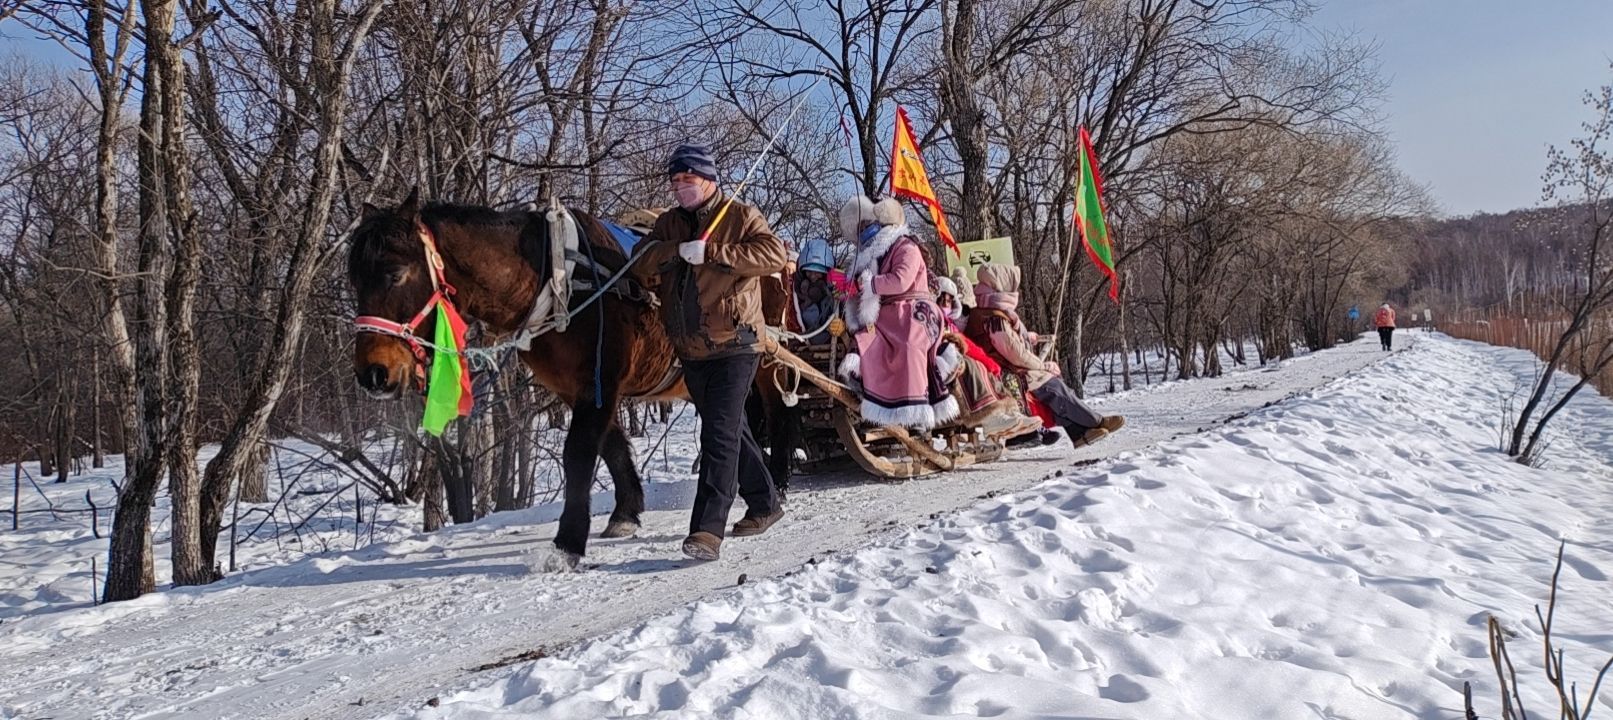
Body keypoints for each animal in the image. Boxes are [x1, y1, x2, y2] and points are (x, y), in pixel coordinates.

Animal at [348, 189, 800, 568]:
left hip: (762, 361)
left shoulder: (599, 382)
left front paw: (568, 542)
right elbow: (612, 445)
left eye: (393, 273)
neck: (557, 280)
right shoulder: (580, 388)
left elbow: (579, 453)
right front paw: (625, 513)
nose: (373, 373)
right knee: (735, 426)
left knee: (775, 414)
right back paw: (761, 500)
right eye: (355, 280)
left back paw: (778, 481)